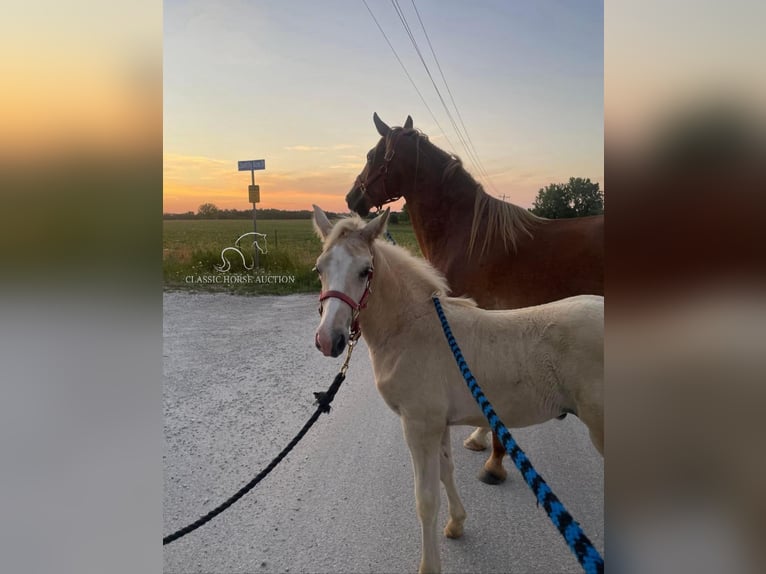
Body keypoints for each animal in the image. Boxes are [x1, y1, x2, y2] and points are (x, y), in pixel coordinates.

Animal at [314, 207, 608, 574]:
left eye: (365, 271)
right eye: (319, 268)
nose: (329, 340)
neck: (412, 327)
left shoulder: (419, 426)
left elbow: (425, 498)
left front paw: (429, 566)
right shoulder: (438, 425)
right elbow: (445, 472)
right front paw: (456, 523)